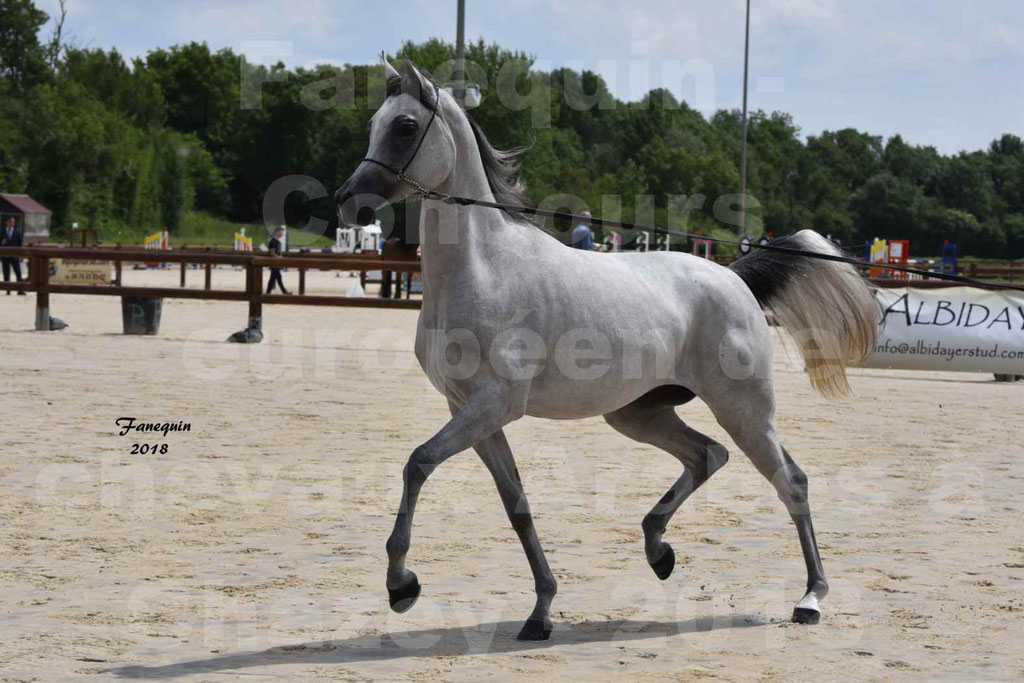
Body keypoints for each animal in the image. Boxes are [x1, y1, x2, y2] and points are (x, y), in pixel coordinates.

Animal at [331, 58, 876, 643]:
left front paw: (401, 586)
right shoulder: (471, 411)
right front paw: (541, 611)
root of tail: (732, 276)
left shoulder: (494, 405)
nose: (348, 202)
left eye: (405, 126)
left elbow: (417, 463)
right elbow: (516, 505)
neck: (485, 268)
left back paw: (810, 598)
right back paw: (658, 550)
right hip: (637, 414)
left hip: (744, 410)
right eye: (374, 123)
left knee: (789, 482)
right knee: (707, 455)